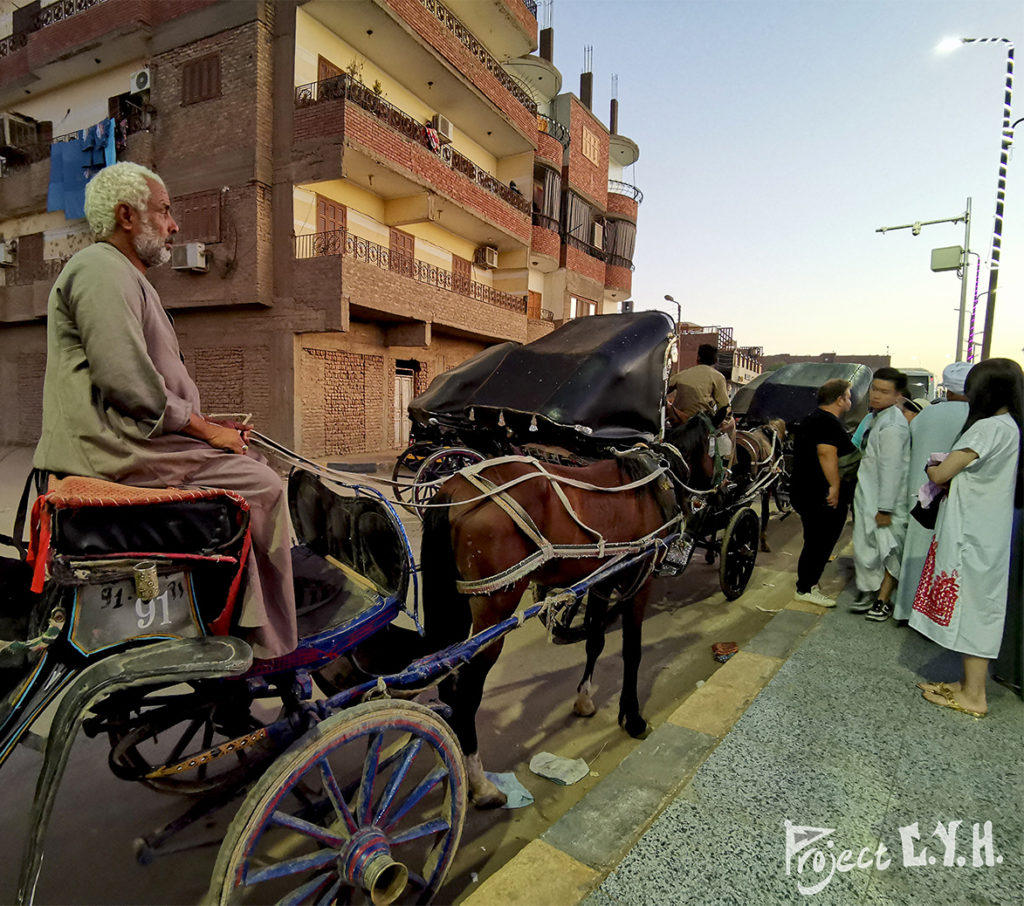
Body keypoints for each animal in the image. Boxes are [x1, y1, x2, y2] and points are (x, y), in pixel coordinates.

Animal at [415, 419, 712, 810]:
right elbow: (632, 651)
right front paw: (632, 717)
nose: (715, 492)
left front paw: (585, 700)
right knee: (465, 692)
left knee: (449, 683)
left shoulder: (603, 580)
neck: (653, 481)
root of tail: (452, 488)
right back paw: (480, 784)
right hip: (495, 609)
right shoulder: (639, 576)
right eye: (720, 442)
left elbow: (596, 641)